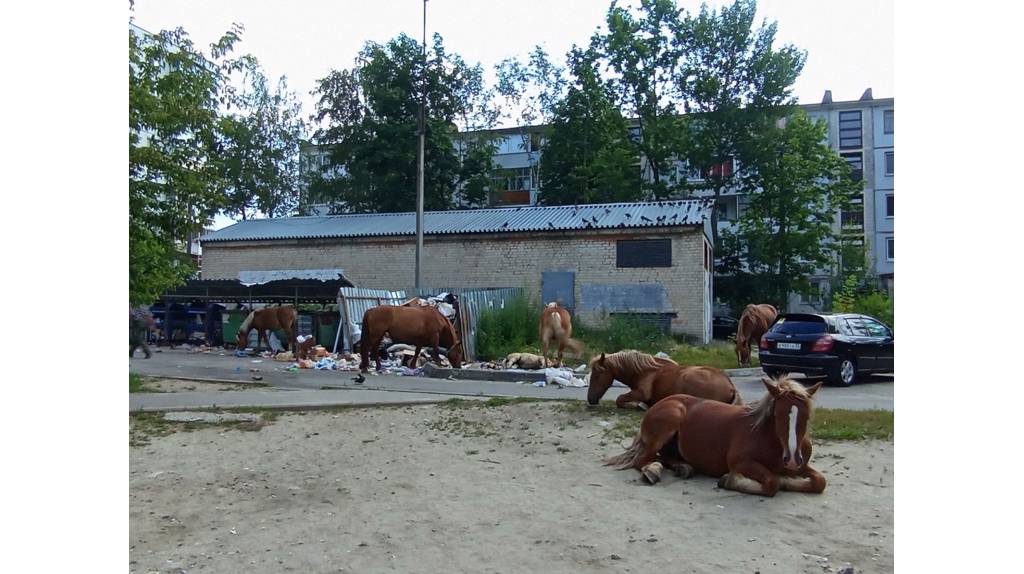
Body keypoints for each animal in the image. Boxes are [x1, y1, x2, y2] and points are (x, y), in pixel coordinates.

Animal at [585, 349, 745, 407]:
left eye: (597, 374)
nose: (590, 399)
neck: (644, 371)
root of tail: (731, 387)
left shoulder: (640, 393)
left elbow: (620, 399)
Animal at [602, 376, 827, 497]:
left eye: (806, 416)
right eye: (778, 415)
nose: (791, 460)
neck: (768, 437)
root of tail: (660, 403)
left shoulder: (802, 465)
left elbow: (820, 482)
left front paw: (789, 479)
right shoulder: (740, 462)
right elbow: (772, 483)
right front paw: (729, 480)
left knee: (663, 457)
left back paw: (683, 467)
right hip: (667, 424)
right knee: (643, 460)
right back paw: (653, 471)